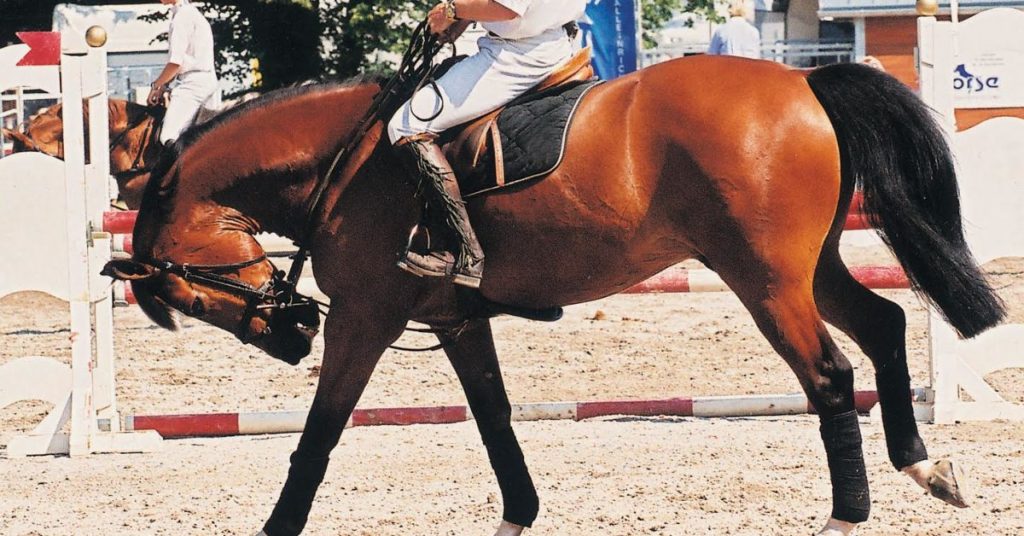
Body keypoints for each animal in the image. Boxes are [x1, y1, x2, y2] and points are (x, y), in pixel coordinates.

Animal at [102, 55, 1005, 536]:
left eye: (193, 295)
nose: (290, 337)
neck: (347, 161)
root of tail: (806, 80)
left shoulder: (365, 318)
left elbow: (319, 435)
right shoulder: (455, 320)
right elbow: (495, 421)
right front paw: (518, 514)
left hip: (766, 280)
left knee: (828, 376)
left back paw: (847, 513)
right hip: (809, 267)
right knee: (884, 325)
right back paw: (924, 466)